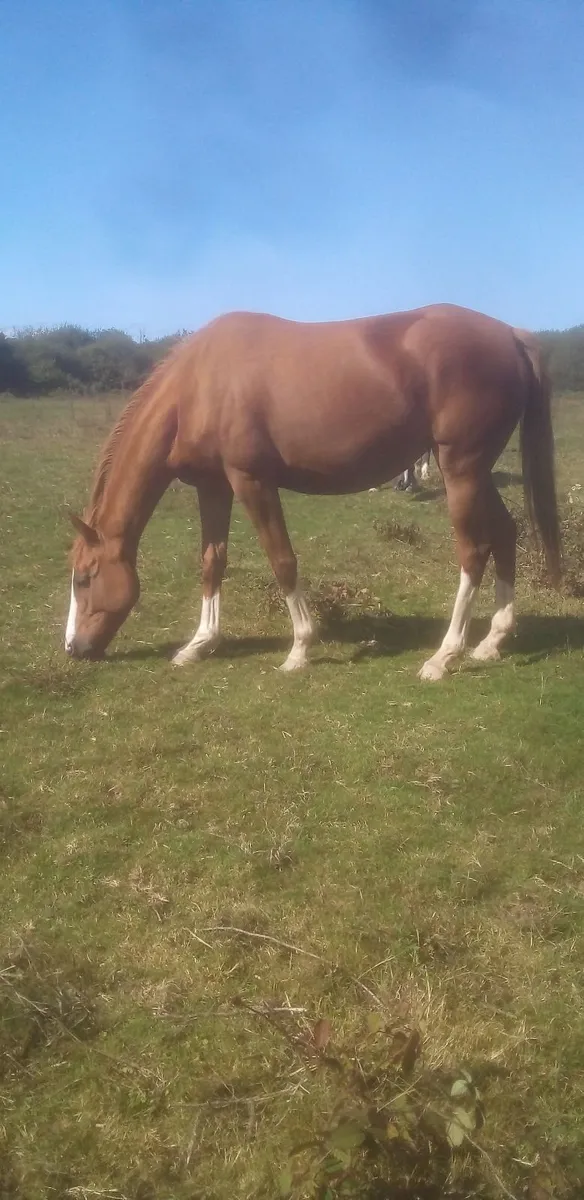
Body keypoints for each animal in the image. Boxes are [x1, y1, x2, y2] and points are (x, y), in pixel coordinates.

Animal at [65, 303, 561, 681]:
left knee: (473, 550)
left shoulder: (252, 481)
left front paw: (300, 649)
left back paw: (444, 655)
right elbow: (212, 562)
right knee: (506, 532)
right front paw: (199, 643)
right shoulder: (214, 486)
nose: (73, 648)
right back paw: (492, 640)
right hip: (474, 471)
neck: (198, 386)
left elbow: (282, 559)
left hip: (461, 469)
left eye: (84, 577)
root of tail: (510, 335)